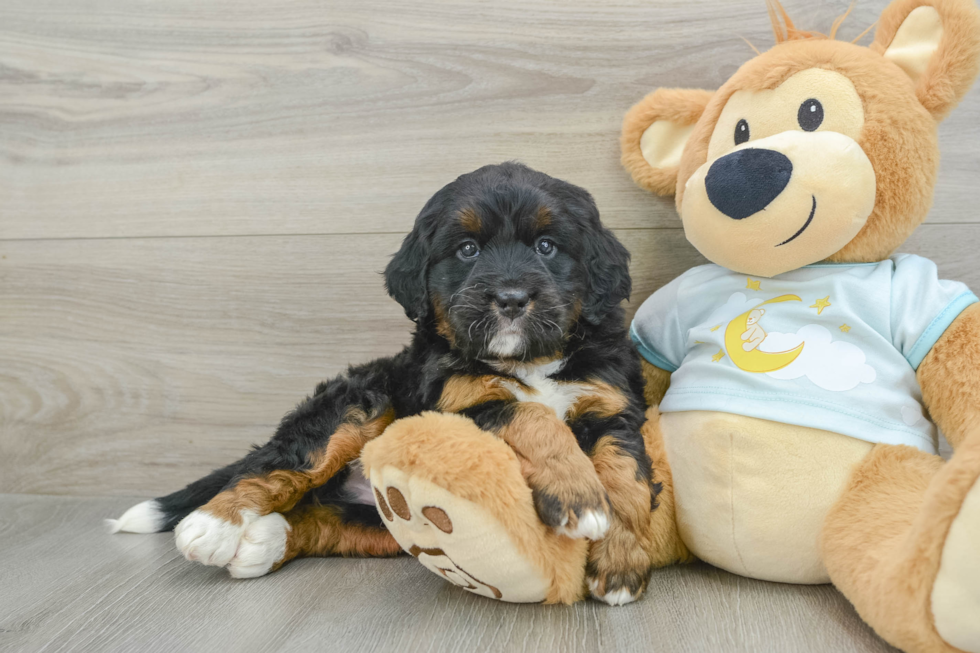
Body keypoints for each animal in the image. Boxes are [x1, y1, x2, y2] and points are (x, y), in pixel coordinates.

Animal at [111, 162, 656, 600]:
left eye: (547, 246)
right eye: (467, 249)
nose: (511, 297)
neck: (529, 360)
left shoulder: (611, 405)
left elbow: (624, 477)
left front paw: (620, 564)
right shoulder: (462, 403)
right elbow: (535, 417)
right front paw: (579, 497)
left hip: (384, 518)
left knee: (329, 523)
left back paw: (266, 542)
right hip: (359, 402)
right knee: (277, 463)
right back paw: (213, 524)